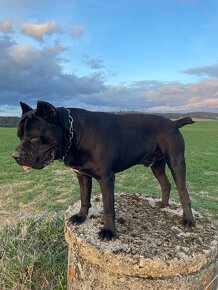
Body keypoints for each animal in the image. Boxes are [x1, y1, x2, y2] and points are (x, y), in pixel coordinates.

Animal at [12, 100, 195, 240]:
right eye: (19, 136)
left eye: (34, 137)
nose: (15, 156)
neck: (74, 133)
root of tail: (173, 122)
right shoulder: (82, 176)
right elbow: (84, 198)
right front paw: (81, 216)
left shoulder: (106, 178)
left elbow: (108, 207)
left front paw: (109, 231)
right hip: (157, 166)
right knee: (166, 184)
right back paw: (163, 204)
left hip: (176, 162)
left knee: (183, 192)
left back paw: (188, 219)